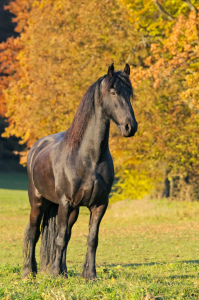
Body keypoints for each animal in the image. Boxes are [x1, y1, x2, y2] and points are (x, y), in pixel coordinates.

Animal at [22, 62, 138, 278]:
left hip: (73, 210)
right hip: (38, 202)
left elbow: (91, 240)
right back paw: (29, 272)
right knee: (34, 233)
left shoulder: (99, 205)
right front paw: (54, 274)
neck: (89, 158)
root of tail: (36, 147)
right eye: (113, 92)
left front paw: (89, 275)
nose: (130, 126)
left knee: (66, 235)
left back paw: (63, 270)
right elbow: (58, 239)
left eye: (130, 93)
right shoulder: (65, 203)